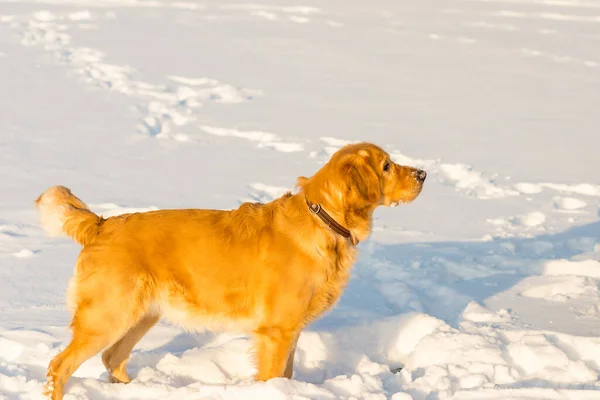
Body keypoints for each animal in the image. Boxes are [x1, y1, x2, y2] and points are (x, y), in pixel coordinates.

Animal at [35, 142, 424, 398]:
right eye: (387, 166)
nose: (423, 173)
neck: (323, 219)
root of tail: (100, 224)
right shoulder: (276, 332)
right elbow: (273, 377)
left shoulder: (291, 330)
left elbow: (287, 374)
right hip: (109, 315)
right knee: (60, 365)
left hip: (141, 315)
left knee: (111, 358)